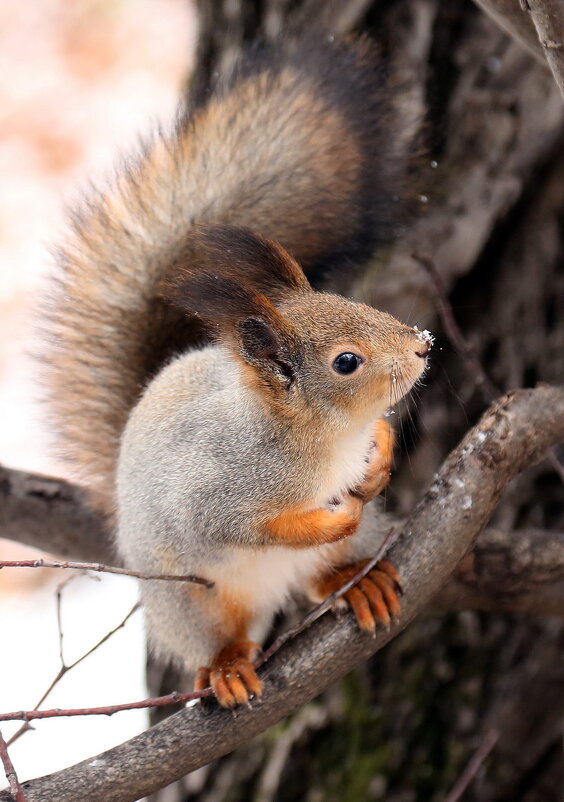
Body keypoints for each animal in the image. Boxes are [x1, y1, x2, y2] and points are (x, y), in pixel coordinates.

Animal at [44, 34, 432, 704]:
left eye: (358, 304)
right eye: (346, 362)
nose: (422, 347)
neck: (328, 438)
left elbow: (375, 442)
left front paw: (381, 458)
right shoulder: (214, 488)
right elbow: (246, 526)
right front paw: (324, 517)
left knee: (320, 580)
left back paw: (359, 580)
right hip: (188, 602)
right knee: (221, 633)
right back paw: (226, 666)